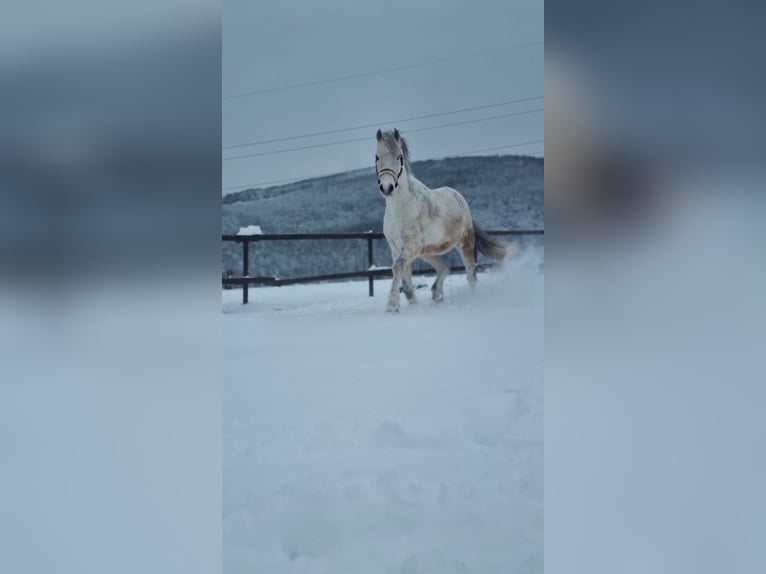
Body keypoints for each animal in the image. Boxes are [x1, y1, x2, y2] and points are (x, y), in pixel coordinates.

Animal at [375, 128, 508, 312]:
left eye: (399, 157)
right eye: (377, 157)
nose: (387, 188)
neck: (402, 208)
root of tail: (457, 196)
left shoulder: (411, 247)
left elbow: (398, 267)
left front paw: (392, 306)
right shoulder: (396, 249)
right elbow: (404, 275)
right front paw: (409, 302)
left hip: (464, 243)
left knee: (470, 275)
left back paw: (470, 298)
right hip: (427, 252)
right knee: (445, 267)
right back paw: (436, 295)